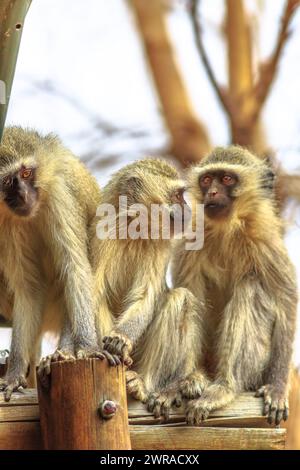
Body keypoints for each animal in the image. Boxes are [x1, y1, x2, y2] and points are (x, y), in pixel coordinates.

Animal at [89, 159, 206, 418]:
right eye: (176, 196)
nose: (188, 210)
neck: (134, 227)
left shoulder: (160, 243)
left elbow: (146, 297)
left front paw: (121, 339)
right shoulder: (102, 231)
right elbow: (94, 294)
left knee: (180, 298)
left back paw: (143, 383)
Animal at [171, 147, 298, 426]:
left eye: (227, 179)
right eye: (207, 180)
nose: (212, 193)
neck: (226, 229)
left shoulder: (266, 242)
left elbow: (286, 301)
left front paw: (277, 387)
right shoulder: (189, 241)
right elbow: (189, 295)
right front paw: (174, 387)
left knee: (250, 286)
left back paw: (224, 388)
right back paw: (195, 378)